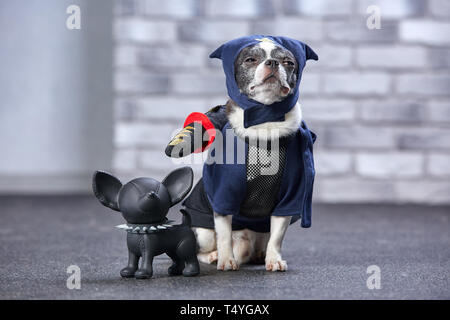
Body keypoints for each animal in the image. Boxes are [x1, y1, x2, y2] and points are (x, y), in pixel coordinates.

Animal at [164, 37, 316, 272]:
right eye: (250, 59)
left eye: (288, 62)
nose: (272, 62)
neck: (265, 119)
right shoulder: (224, 195)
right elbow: (224, 234)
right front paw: (227, 260)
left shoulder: (288, 199)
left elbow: (277, 236)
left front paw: (274, 259)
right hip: (203, 233)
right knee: (202, 247)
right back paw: (214, 256)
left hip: (260, 229)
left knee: (261, 240)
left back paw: (260, 254)